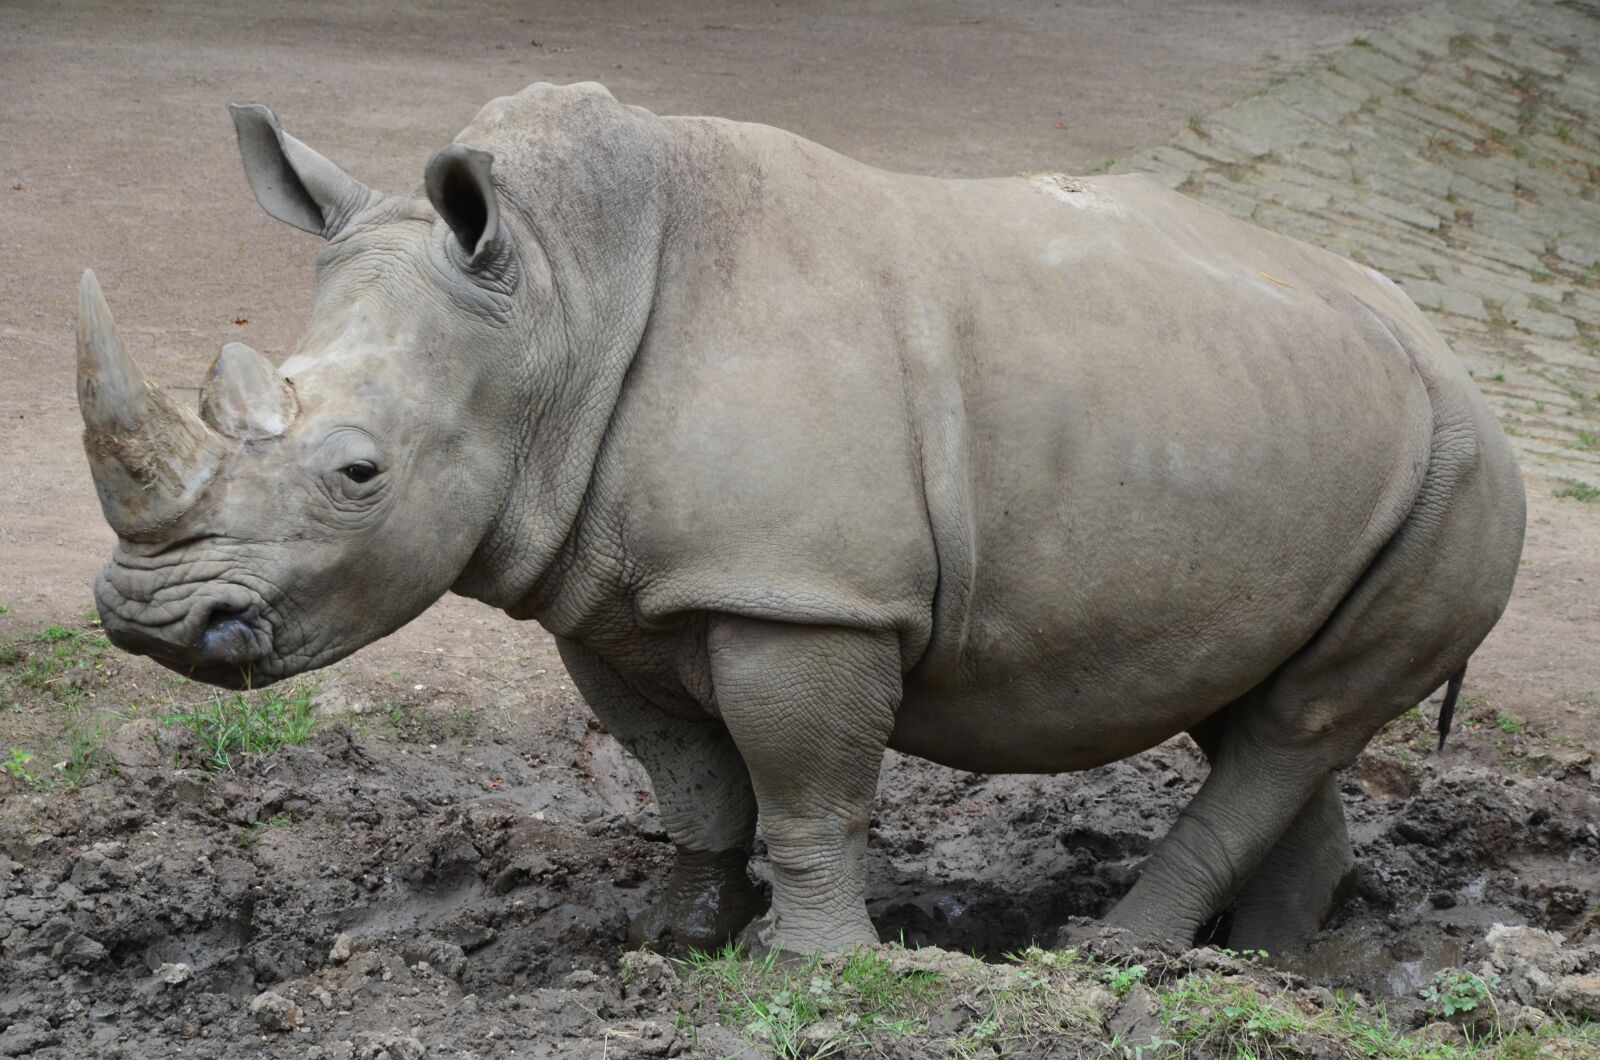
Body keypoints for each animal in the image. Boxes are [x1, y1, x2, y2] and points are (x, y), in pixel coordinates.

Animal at [75, 82, 1525, 956]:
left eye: (358, 474)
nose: (149, 620)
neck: (554, 304)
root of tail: (1463, 366)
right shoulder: (607, 586)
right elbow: (689, 773)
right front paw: (673, 941)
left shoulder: (804, 593)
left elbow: (807, 783)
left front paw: (814, 966)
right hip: (1322, 443)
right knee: (1265, 709)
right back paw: (1273, 967)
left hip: (1464, 483)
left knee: (1291, 726)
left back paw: (1120, 955)